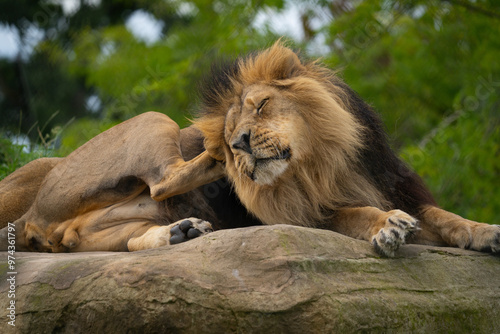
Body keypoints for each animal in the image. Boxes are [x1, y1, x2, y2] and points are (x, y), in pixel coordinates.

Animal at [0, 41, 498, 256]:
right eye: (233, 129)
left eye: (260, 106)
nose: (235, 143)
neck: (322, 166)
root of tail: (34, 217)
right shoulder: (311, 216)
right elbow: (359, 215)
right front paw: (388, 227)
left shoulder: (400, 187)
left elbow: (446, 217)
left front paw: (486, 232)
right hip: (153, 119)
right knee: (163, 181)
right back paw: (212, 165)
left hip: (100, 230)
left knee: (121, 239)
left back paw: (181, 232)